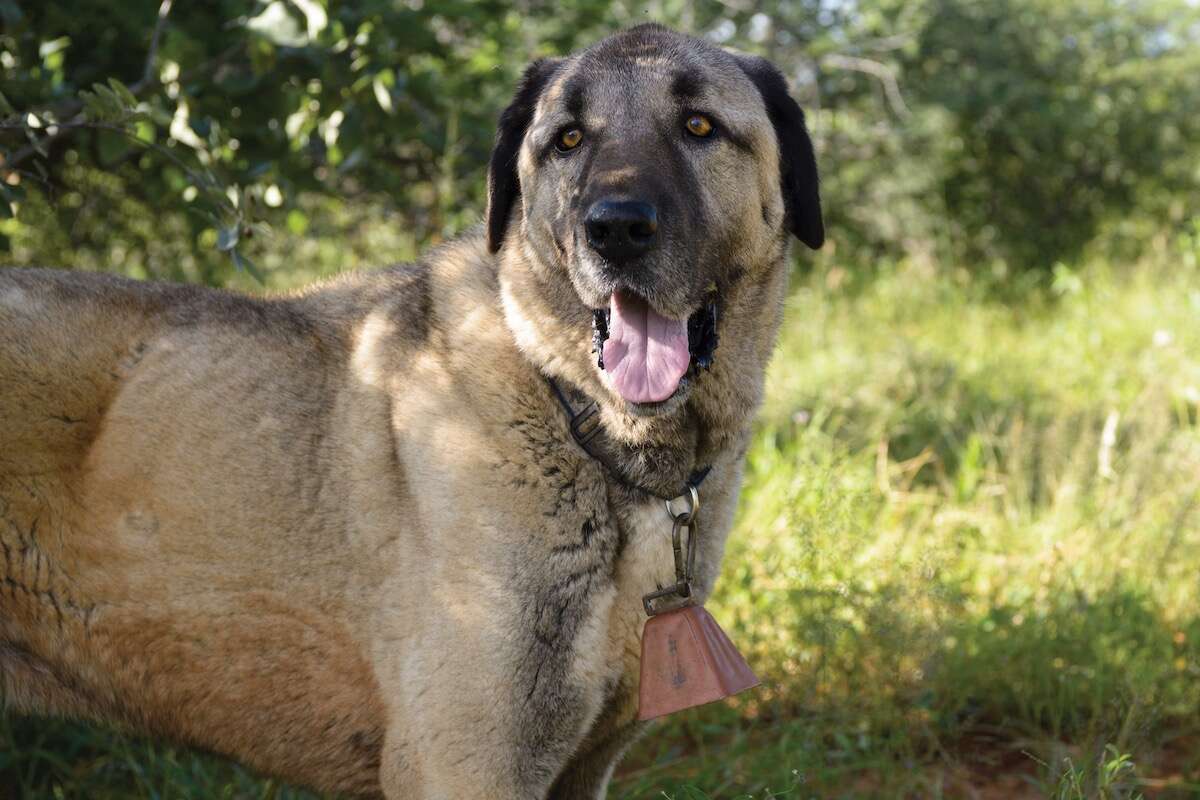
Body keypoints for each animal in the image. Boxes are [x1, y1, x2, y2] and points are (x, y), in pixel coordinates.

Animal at [0, 21, 820, 796]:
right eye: (569, 139)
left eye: (699, 126)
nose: (614, 229)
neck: (574, 415)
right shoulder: (467, 765)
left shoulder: (580, 767)